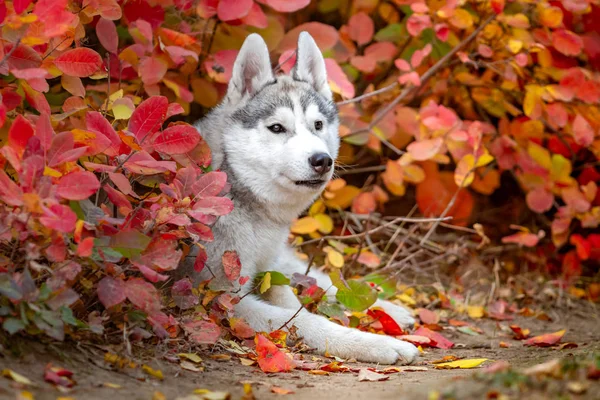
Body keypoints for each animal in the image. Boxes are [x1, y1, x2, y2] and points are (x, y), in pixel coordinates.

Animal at [192, 32, 418, 362]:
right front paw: (376, 343)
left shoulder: (269, 270)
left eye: (318, 125)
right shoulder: (223, 300)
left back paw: (390, 310)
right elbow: (305, 319)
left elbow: (297, 297)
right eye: (277, 128)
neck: (235, 188)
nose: (322, 160)